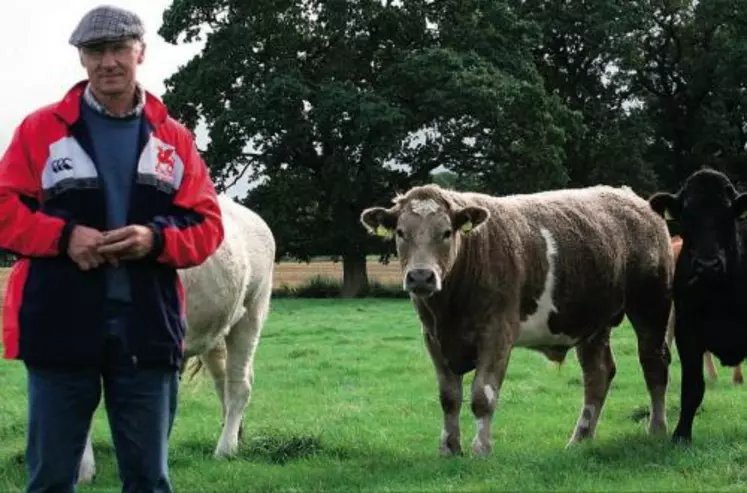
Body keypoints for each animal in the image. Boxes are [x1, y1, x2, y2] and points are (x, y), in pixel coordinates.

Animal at [77, 194, 276, 482]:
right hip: (215, 328)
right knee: (223, 382)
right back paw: (234, 435)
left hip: (252, 310)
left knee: (240, 384)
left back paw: (225, 449)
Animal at [360, 183, 676, 456]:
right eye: (401, 232)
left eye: (447, 232)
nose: (421, 276)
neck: (448, 308)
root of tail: (635, 200)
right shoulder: (433, 337)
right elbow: (449, 397)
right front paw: (449, 449)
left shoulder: (497, 333)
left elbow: (482, 395)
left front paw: (481, 450)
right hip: (592, 323)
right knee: (598, 374)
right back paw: (579, 440)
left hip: (651, 305)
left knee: (653, 363)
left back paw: (657, 429)